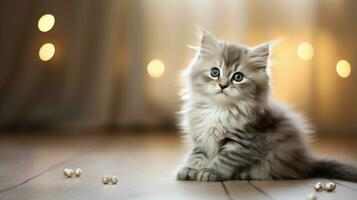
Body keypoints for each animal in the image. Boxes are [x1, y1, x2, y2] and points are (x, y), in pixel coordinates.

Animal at [178, 29, 357, 181]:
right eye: (215, 72)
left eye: (238, 77)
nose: (223, 85)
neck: (219, 109)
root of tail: (307, 162)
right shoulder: (200, 137)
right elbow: (198, 155)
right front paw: (191, 169)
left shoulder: (242, 141)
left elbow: (224, 160)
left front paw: (211, 171)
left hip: (275, 156)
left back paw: (244, 174)